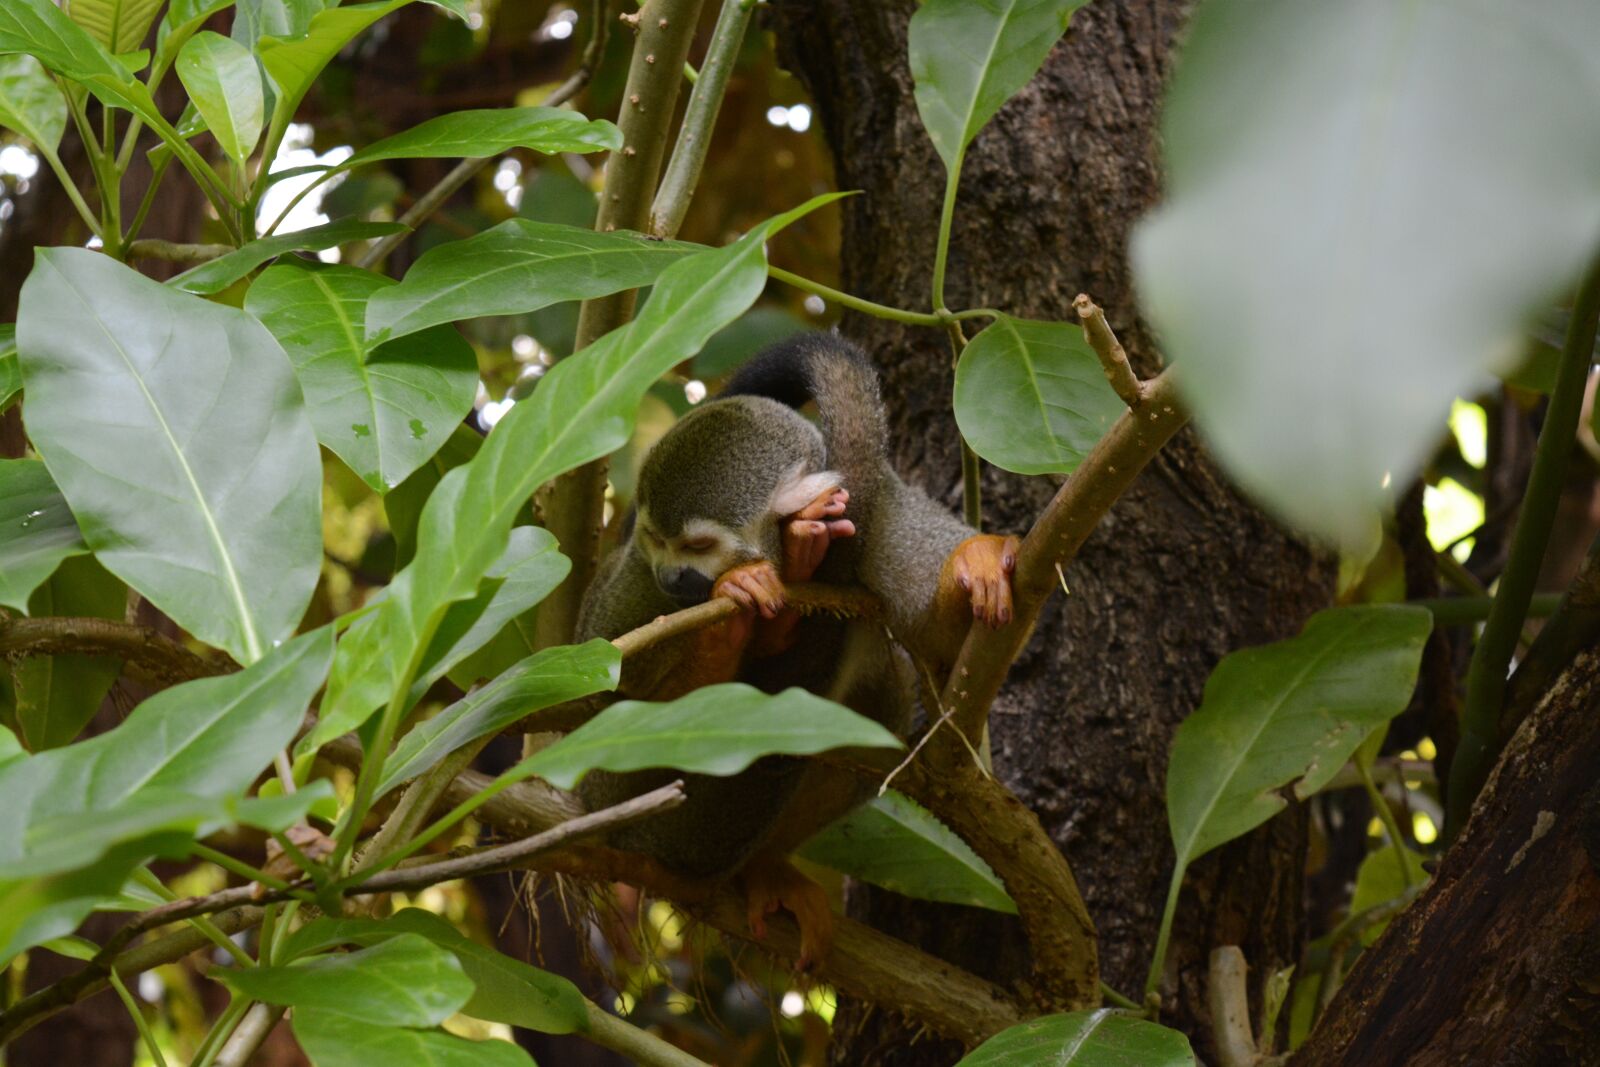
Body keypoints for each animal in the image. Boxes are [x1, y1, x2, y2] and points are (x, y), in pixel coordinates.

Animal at [575, 332, 1018, 966]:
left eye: (698, 546)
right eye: (659, 541)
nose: (672, 578)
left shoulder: (869, 513)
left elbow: (947, 642)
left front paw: (973, 564)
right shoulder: (637, 571)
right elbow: (604, 691)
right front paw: (729, 618)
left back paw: (762, 867)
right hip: (611, 801)